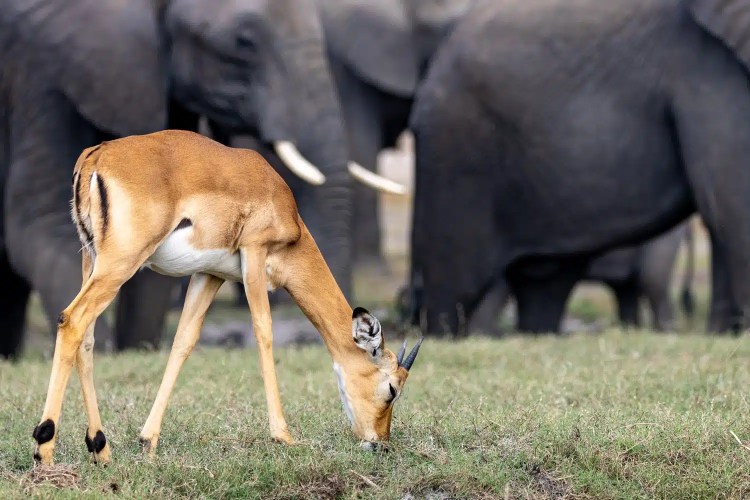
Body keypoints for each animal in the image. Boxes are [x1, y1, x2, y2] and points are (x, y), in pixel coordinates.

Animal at [0, 0, 356, 358]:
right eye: (243, 42)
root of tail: (94, 157)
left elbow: (177, 319)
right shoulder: (40, 80)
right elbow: (39, 231)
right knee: (73, 314)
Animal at [32, 130, 423, 465]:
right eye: (391, 388)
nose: (379, 443)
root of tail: (96, 155)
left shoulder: (210, 274)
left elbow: (183, 341)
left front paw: (148, 440)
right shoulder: (254, 255)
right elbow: (263, 331)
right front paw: (284, 436)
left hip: (93, 261)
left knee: (86, 339)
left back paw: (101, 449)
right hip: (120, 265)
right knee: (72, 320)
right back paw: (44, 449)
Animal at [408, 0, 750, 335]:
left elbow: (724, 209)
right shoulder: (706, 66)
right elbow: (732, 201)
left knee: (546, 284)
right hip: (459, 149)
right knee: (456, 288)